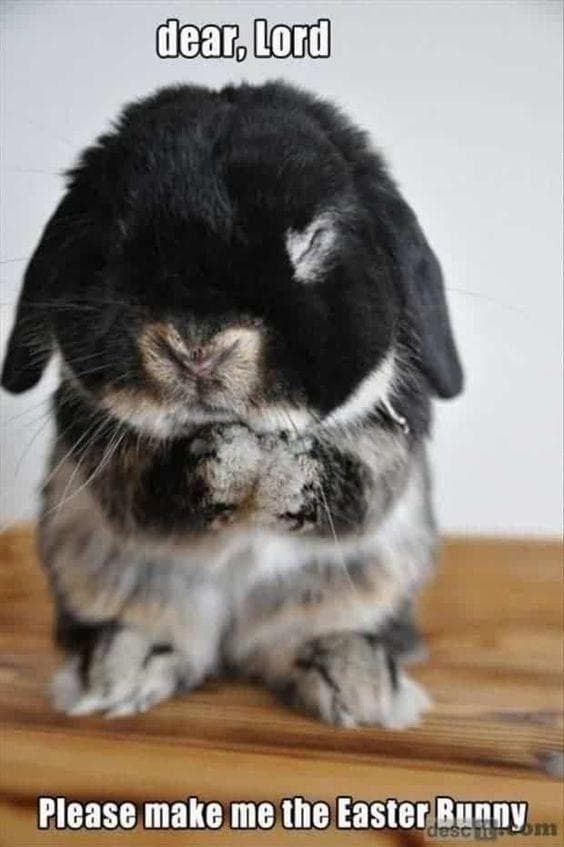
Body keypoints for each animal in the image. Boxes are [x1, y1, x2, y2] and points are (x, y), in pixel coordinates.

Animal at [1, 81, 463, 726]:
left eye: (312, 240)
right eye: (116, 239)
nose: (197, 348)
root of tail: (232, 645)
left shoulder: (387, 446)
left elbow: (354, 485)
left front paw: (276, 470)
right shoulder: (101, 446)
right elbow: (149, 486)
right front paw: (237, 462)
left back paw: (359, 686)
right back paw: (120, 672)